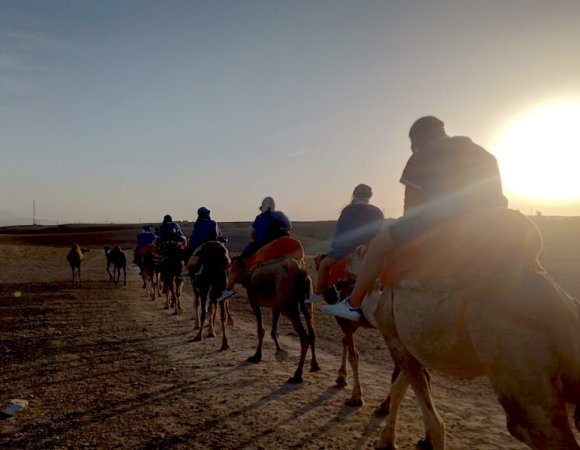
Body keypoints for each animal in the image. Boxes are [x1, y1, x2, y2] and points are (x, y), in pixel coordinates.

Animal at [242, 256, 320, 384]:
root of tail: (298, 270)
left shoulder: (252, 298)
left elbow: (261, 329)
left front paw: (257, 356)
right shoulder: (276, 305)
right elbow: (274, 331)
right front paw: (279, 350)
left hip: (288, 304)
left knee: (304, 338)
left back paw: (297, 375)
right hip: (308, 297)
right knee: (312, 333)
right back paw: (314, 366)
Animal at [348, 209, 580, 448]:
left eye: (356, 253)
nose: (347, 260)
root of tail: (561, 306)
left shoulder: (394, 337)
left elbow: (434, 421)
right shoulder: (410, 347)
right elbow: (398, 389)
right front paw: (385, 440)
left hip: (517, 363)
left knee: (529, 427)